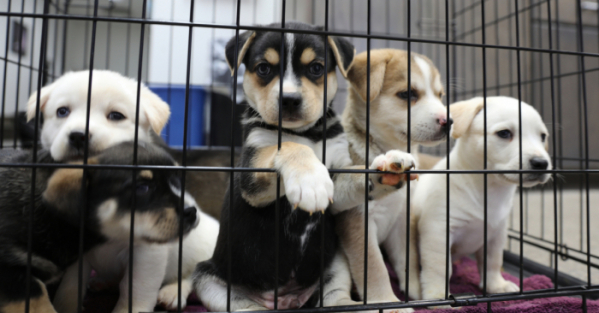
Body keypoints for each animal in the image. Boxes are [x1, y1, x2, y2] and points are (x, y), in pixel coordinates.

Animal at [0, 141, 202, 312]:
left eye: (178, 181)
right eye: (143, 187)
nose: (192, 211)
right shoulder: (12, 270)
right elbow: (42, 298)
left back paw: (173, 292)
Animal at [27, 70, 220, 312]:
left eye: (116, 115)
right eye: (62, 111)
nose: (78, 135)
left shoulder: (146, 254)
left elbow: (135, 290)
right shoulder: (75, 250)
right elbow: (70, 287)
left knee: (191, 275)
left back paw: (173, 292)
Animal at [195, 21, 414, 310]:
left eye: (316, 68)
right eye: (263, 68)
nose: (289, 99)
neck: (309, 133)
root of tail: (285, 300)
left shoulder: (338, 179)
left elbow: (356, 177)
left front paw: (388, 166)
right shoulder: (252, 175)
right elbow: (289, 147)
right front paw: (310, 182)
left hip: (335, 262)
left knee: (333, 297)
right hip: (208, 278)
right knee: (242, 305)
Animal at [340, 49, 452, 304]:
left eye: (440, 95)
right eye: (407, 94)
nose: (448, 121)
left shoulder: (402, 219)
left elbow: (408, 259)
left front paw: (417, 293)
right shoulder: (359, 221)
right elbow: (375, 268)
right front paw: (387, 302)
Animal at [412, 96, 552, 304]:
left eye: (542, 136)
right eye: (504, 133)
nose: (541, 163)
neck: (487, 189)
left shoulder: (495, 234)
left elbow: (492, 263)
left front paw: (497, 286)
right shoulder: (437, 232)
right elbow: (439, 268)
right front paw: (437, 296)